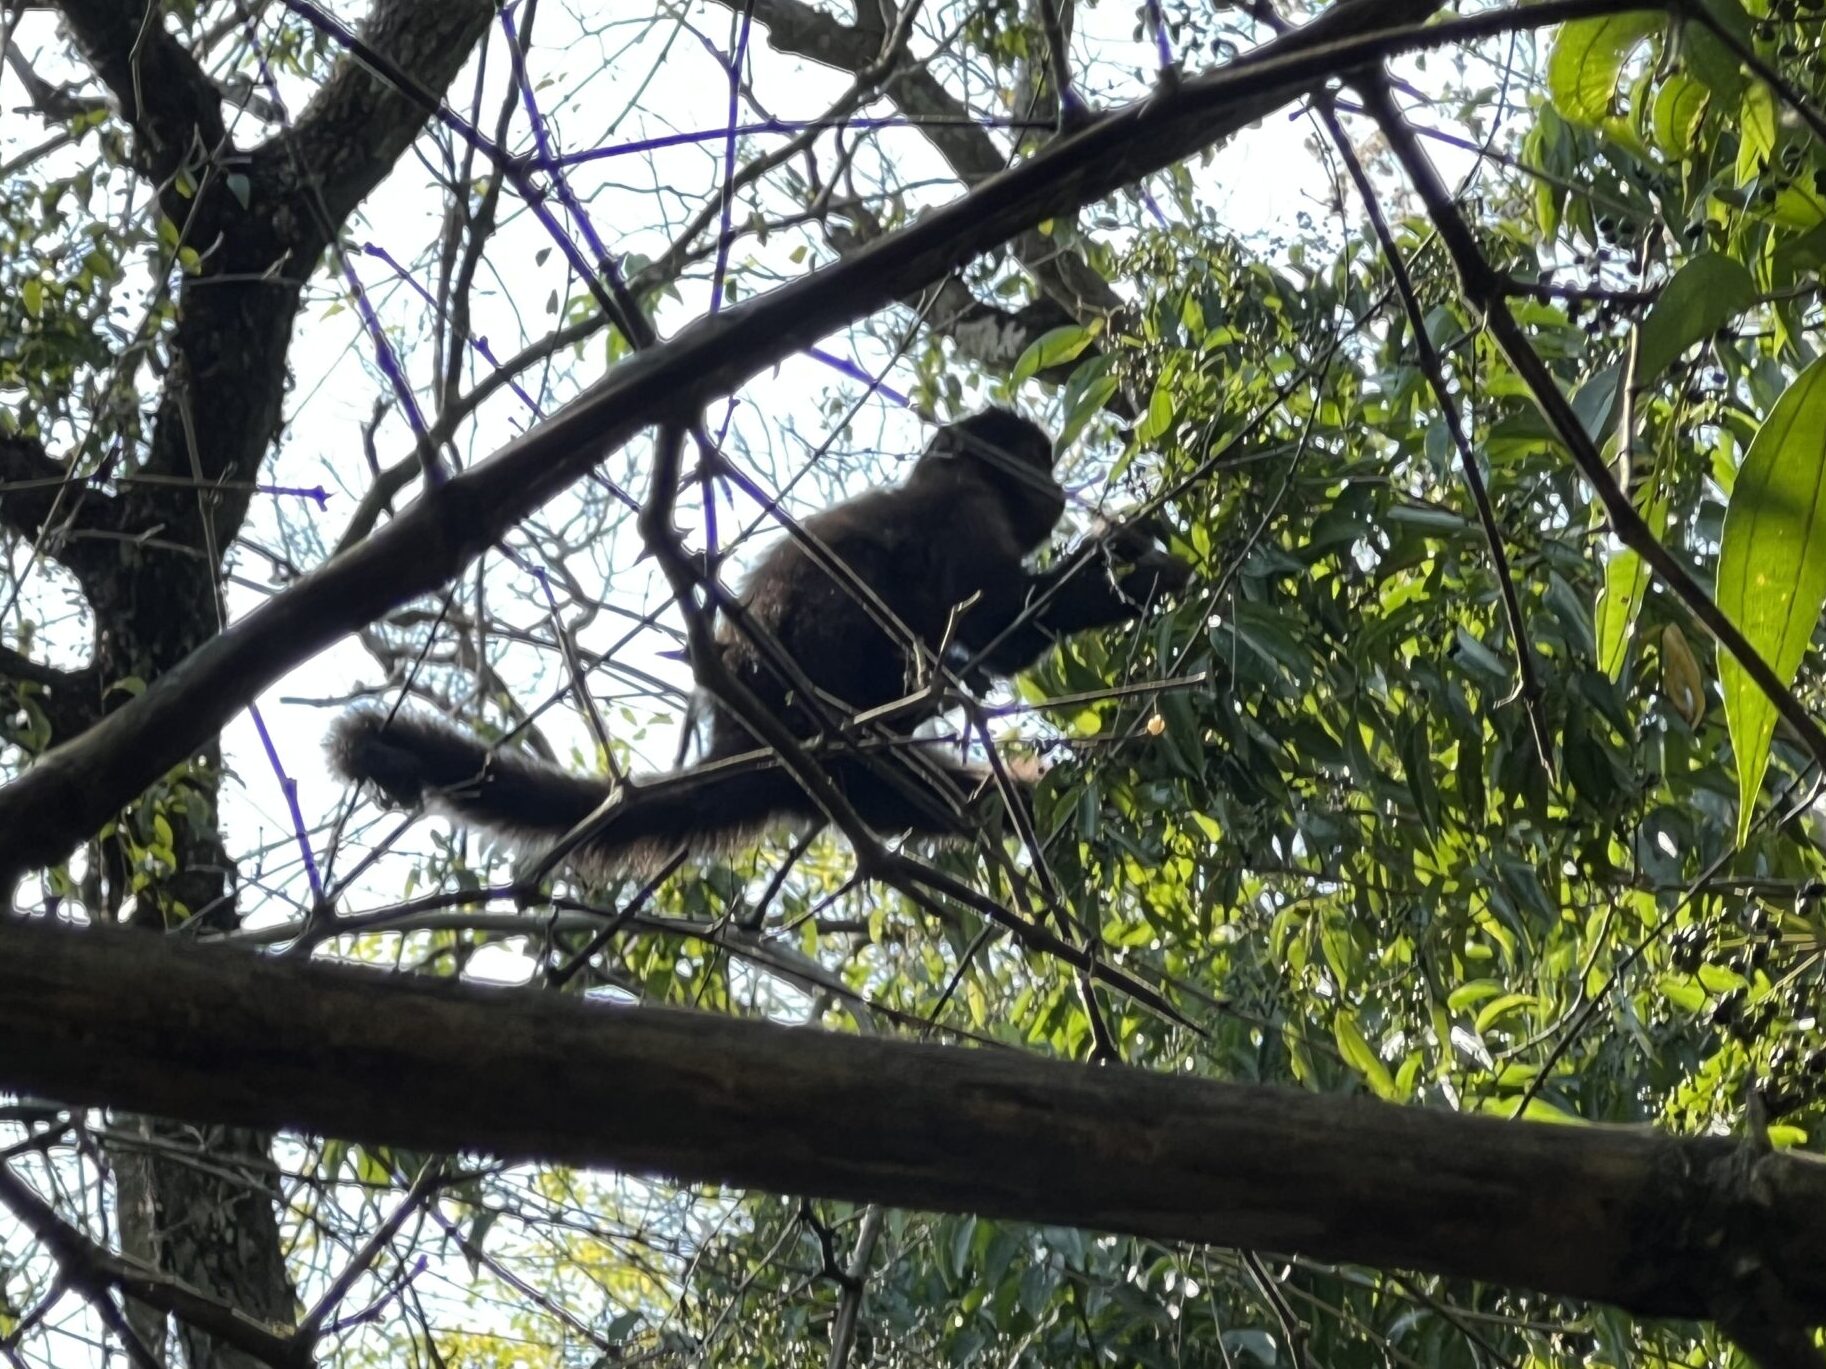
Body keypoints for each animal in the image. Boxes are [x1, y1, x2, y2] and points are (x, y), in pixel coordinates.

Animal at [329, 408, 1191, 874]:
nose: (1053, 477)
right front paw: (1127, 568)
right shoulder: (962, 510)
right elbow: (994, 620)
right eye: (1031, 452)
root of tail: (741, 742)